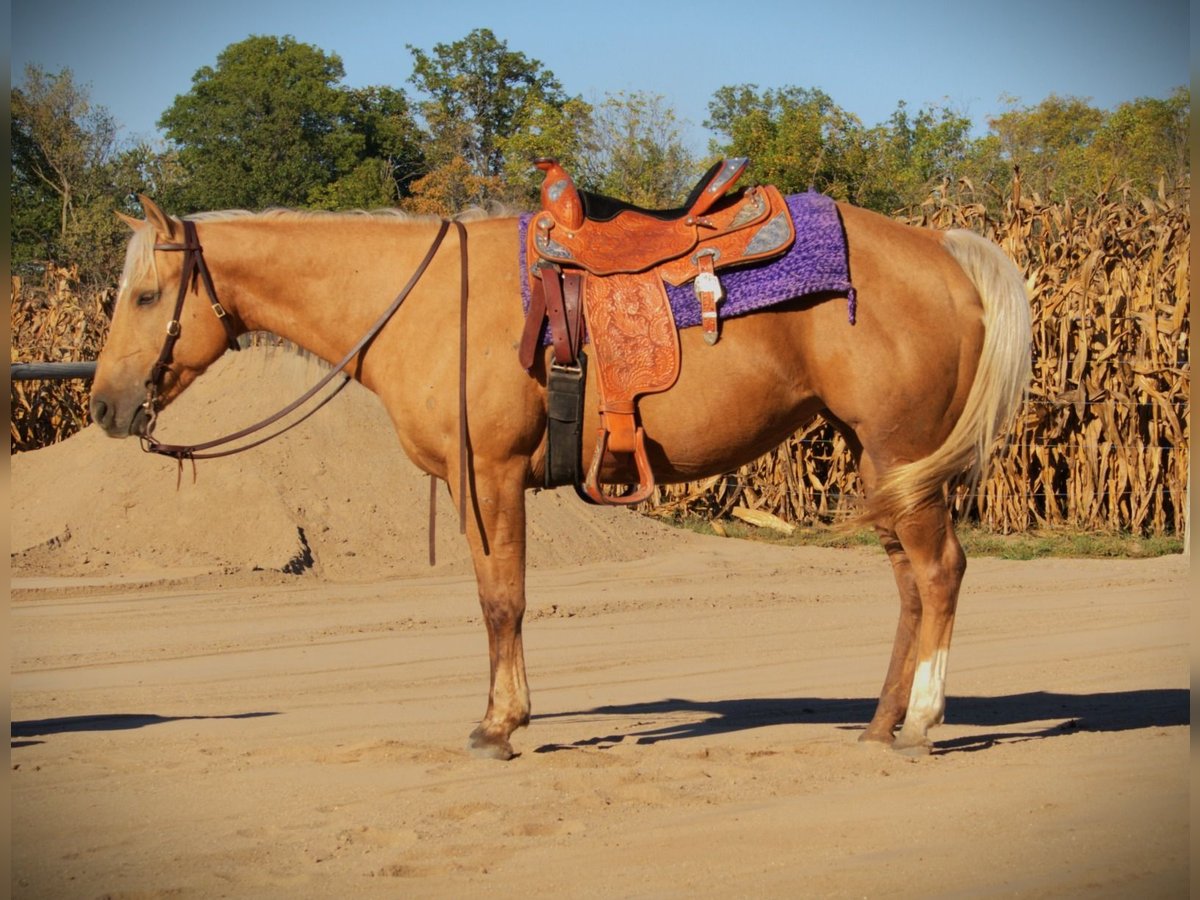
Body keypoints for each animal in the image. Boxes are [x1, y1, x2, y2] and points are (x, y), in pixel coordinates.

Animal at [89, 192, 1031, 760]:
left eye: (145, 297)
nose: (104, 404)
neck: (427, 303)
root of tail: (944, 250)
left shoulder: (490, 475)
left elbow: (500, 600)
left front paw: (499, 724)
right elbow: (498, 599)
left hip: (903, 454)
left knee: (940, 573)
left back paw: (923, 721)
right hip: (883, 462)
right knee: (910, 585)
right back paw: (878, 724)